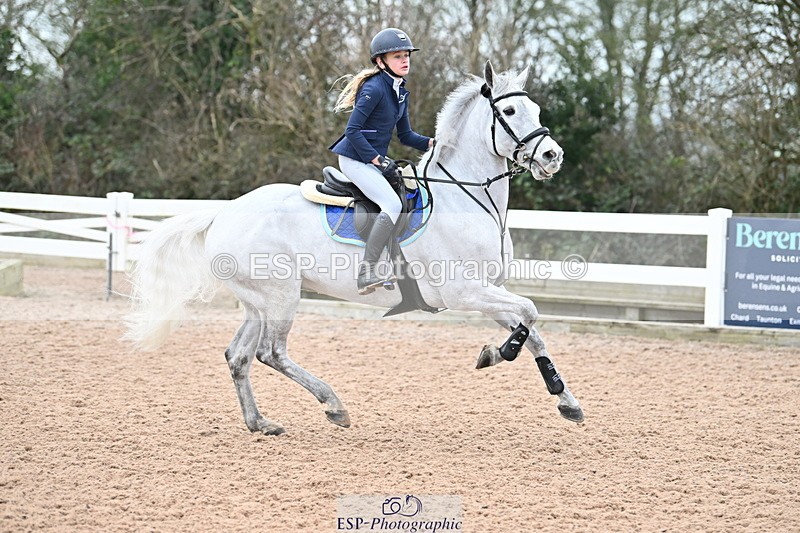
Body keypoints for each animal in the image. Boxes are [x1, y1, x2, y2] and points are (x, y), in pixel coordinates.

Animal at [125, 61, 584, 435]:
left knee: (238, 356)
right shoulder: (463, 291)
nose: (553, 155)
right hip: (282, 295)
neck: (466, 196)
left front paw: (565, 399)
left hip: (258, 301)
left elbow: (533, 330)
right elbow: (530, 312)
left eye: (536, 110)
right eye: (509, 113)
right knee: (271, 353)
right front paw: (497, 353)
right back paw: (333, 406)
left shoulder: (487, 291)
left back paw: (260, 423)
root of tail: (223, 213)